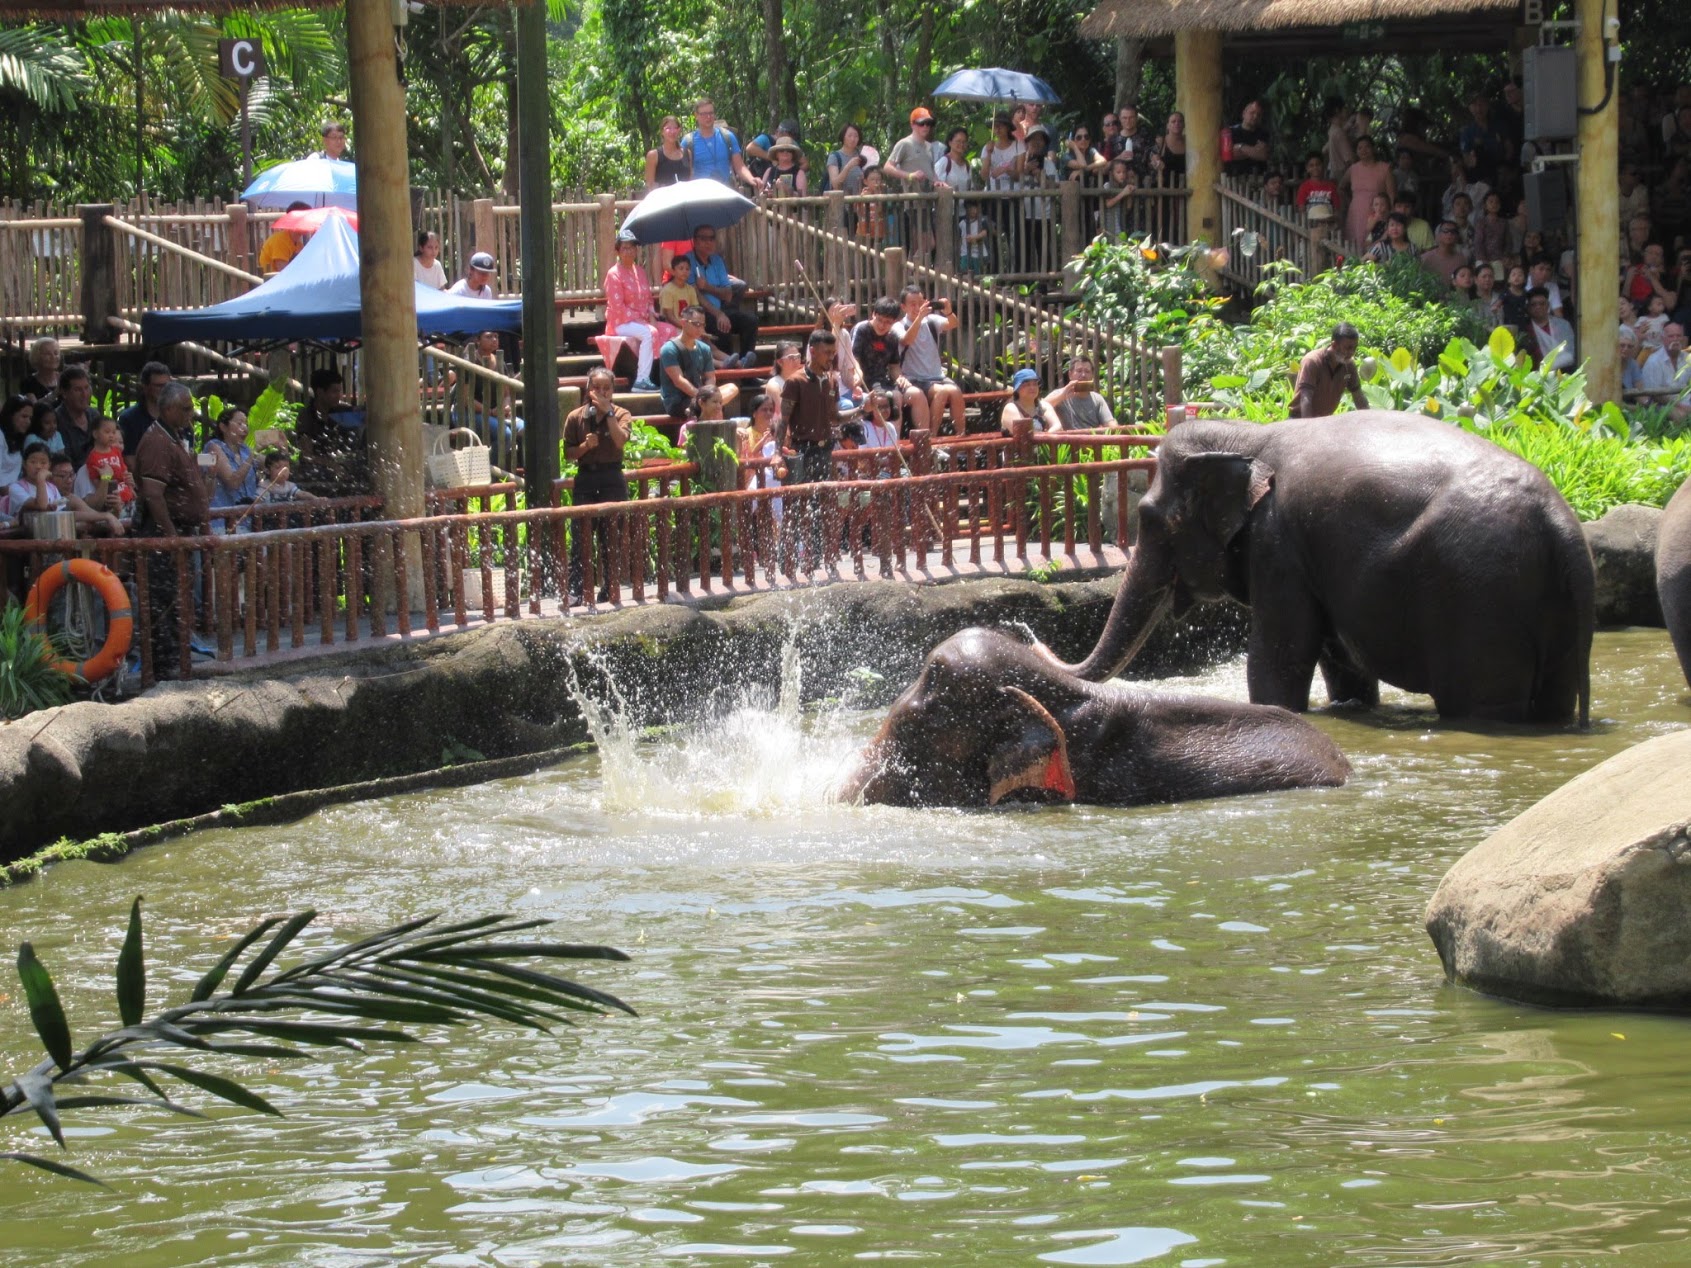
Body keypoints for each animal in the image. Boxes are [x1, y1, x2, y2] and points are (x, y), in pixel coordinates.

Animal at [1048, 409, 1589, 720]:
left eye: (1148, 519)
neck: (1248, 436)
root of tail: (1561, 528)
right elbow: (1338, 658)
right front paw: (1350, 706)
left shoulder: (1277, 543)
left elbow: (1280, 653)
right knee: (1556, 698)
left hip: (1480, 606)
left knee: (1481, 704)